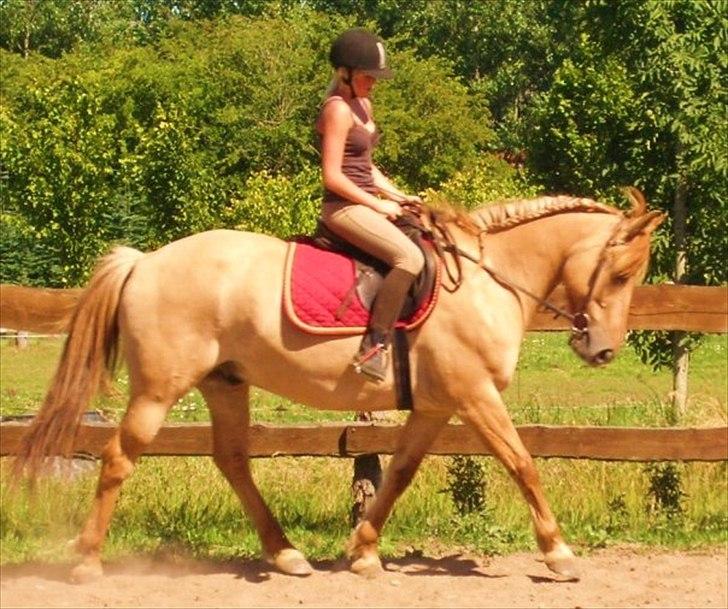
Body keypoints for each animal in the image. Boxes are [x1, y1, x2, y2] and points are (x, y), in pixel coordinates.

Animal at [14, 188, 664, 580]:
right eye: (622, 273)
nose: (603, 349)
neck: (487, 280)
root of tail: (145, 261)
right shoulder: (475, 394)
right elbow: (523, 463)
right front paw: (559, 554)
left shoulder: (435, 405)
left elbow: (398, 475)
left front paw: (363, 552)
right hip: (158, 389)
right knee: (119, 458)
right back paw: (88, 562)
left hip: (225, 384)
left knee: (232, 460)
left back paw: (286, 555)